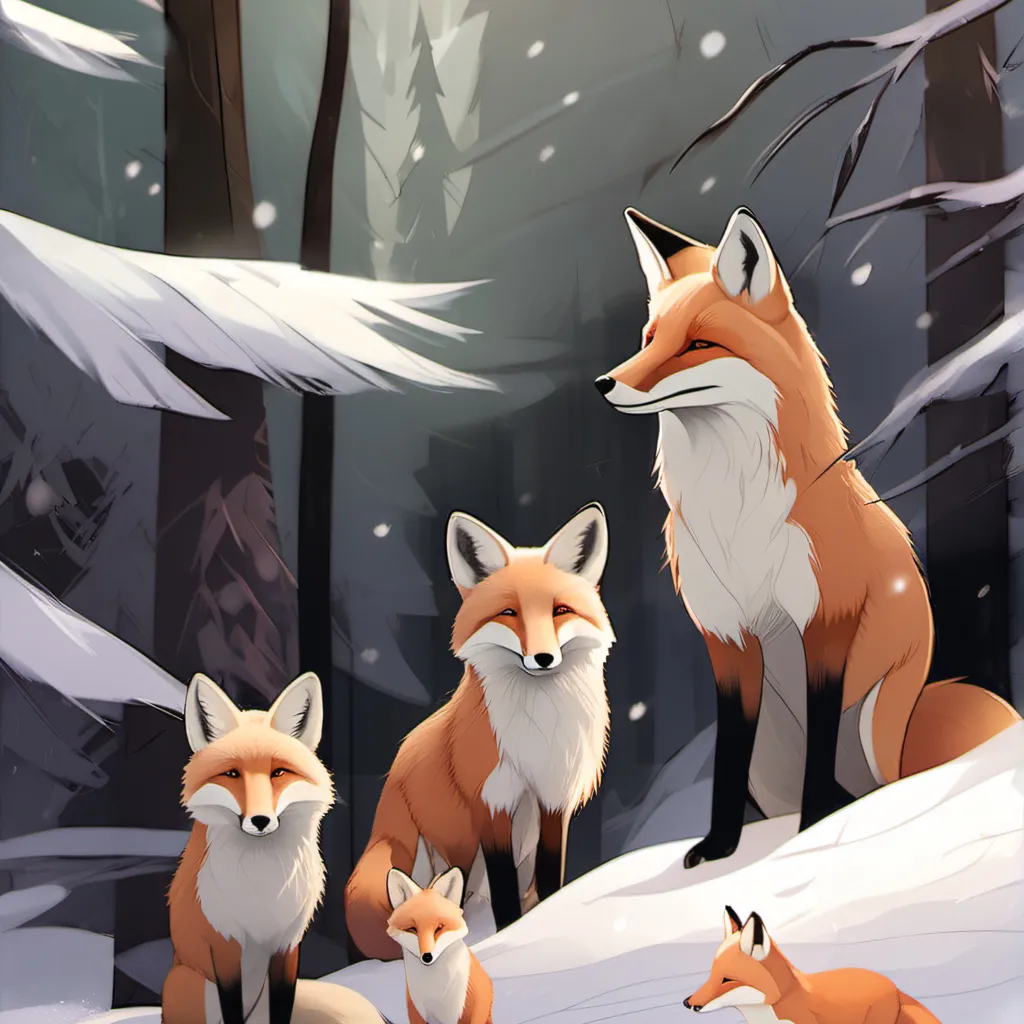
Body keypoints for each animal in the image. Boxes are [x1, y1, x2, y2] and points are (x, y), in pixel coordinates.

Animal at [162, 671, 390, 1024]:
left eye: (278, 772)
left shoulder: (287, 946)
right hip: (191, 985)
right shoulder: (224, 945)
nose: (259, 820)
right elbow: (231, 1008)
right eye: (232, 774)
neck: (263, 883)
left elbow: (283, 1005)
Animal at [345, 503, 615, 961]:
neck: (539, 730)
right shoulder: (491, 803)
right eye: (509, 613)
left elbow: (550, 880)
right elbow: (505, 894)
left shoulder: (554, 802)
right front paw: (508, 939)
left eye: (560, 610)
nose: (544, 658)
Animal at [386, 866, 494, 1024]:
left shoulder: (462, 1012)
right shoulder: (417, 1012)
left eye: (439, 927)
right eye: (412, 929)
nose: (427, 957)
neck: (435, 991)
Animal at [595, 205, 1020, 868]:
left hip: (877, 727)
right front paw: (719, 847)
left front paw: (816, 827)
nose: (604, 383)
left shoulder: (827, 622)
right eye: (649, 340)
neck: (736, 512)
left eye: (698, 345)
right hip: (770, 763)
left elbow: (820, 741)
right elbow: (726, 758)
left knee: (883, 783)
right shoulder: (727, 640)